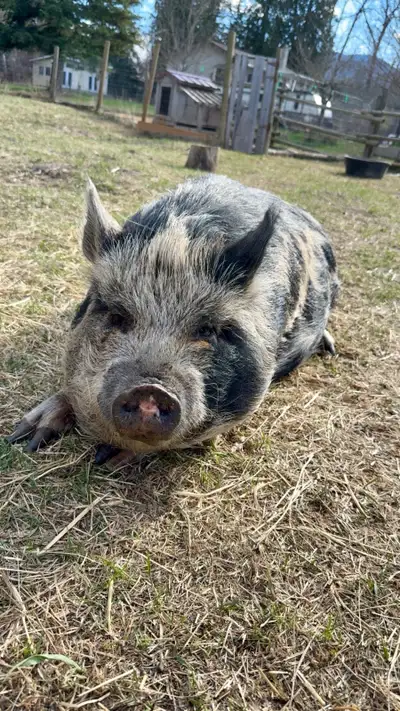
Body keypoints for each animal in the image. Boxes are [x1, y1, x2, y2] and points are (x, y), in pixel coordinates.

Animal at [8, 175, 339, 465]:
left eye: (207, 330)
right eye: (116, 315)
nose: (150, 389)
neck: (177, 243)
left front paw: (108, 458)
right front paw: (23, 437)